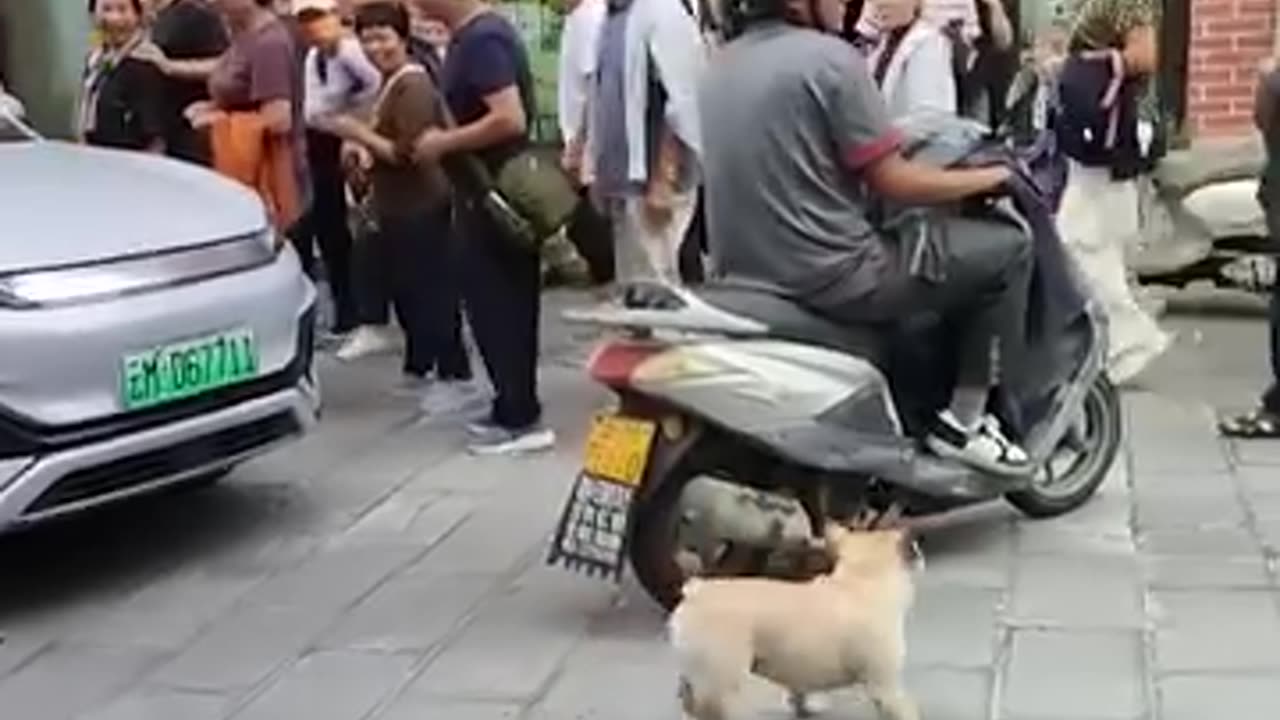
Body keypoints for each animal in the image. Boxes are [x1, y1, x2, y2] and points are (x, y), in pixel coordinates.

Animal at [670, 512, 921, 712]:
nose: (919, 550)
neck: (861, 579)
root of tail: (695, 591)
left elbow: (799, 693)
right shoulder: (886, 690)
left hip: (694, 682)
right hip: (721, 687)